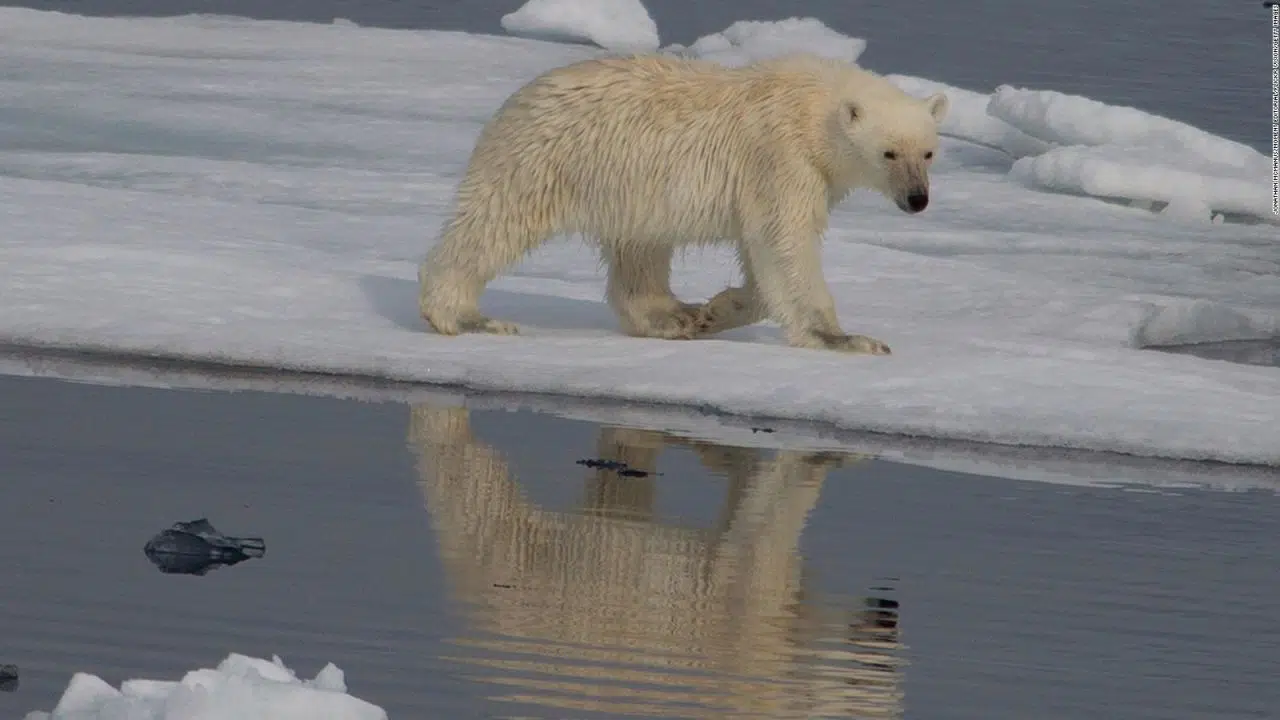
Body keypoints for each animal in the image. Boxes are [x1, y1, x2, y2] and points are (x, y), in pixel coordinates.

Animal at [417, 51, 948, 354]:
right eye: (889, 152)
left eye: (928, 152)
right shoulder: (781, 156)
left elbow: (764, 254)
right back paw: (464, 316)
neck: (813, 108)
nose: (917, 199)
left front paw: (716, 310)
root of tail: (519, 98)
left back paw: (672, 316)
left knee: (640, 250)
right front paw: (846, 339)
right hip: (545, 158)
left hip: (629, 186)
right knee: (494, 221)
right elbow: (785, 242)